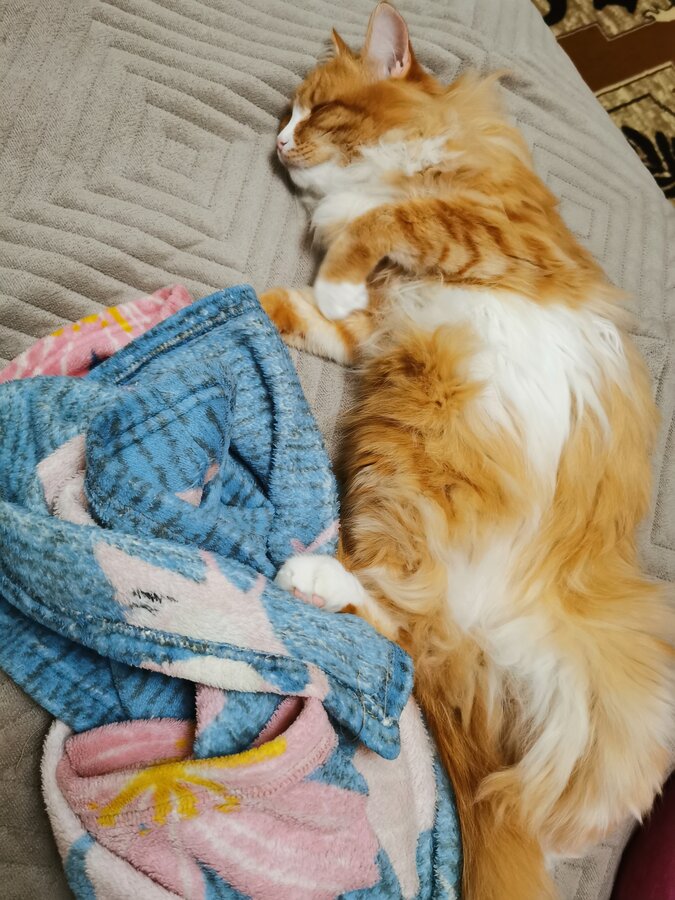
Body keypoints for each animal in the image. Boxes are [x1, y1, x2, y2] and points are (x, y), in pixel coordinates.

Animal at [260, 4, 674, 898]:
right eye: (289, 114)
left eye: (316, 110)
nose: (278, 142)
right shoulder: (370, 326)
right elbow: (294, 305)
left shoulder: (491, 232)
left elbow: (385, 222)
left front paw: (338, 257)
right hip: (394, 454)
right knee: (410, 633)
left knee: (408, 626)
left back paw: (308, 574)